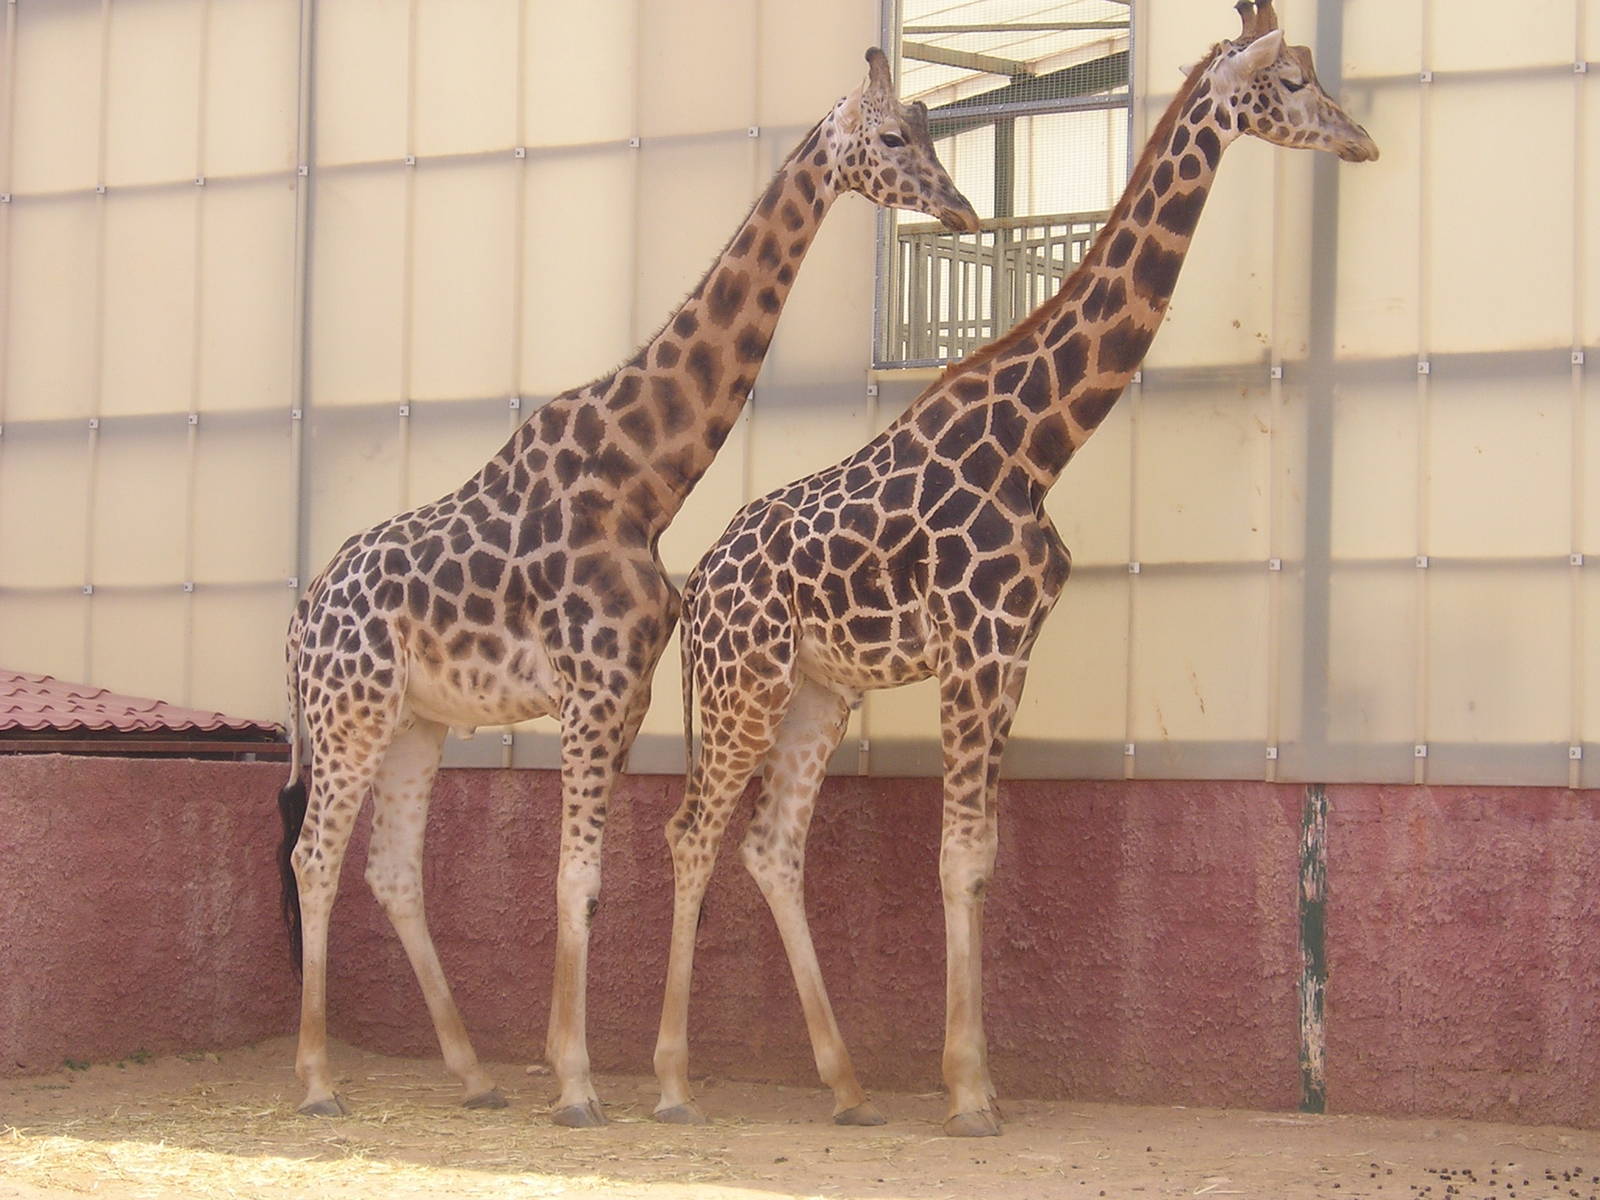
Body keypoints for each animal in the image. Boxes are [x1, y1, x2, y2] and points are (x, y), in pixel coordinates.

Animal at [274, 48, 978, 1126]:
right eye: (897, 136)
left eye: (937, 132)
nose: (964, 208)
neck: (643, 478)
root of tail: (301, 613)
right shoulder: (594, 690)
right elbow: (579, 878)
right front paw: (576, 1083)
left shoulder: (628, 691)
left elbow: (588, 876)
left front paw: (574, 1071)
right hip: (348, 712)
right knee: (314, 857)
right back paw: (316, 1082)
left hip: (414, 720)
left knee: (391, 869)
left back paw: (474, 1075)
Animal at [652, 1, 1377, 1136]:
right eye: (1292, 82)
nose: (1361, 140)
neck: (1038, 443)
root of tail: (698, 587)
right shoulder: (974, 649)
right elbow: (957, 855)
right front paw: (969, 1094)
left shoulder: (1013, 653)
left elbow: (983, 856)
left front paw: (975, 1079)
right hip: (744, 688)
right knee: (690, 833)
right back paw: (674, 1084)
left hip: (819, 692)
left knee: (770, 845)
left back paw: (849, 1089)